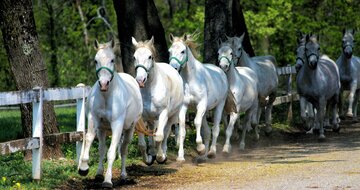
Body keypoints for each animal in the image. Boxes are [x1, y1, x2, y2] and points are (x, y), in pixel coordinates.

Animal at [78, 40, 144, 189]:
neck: (106, 97)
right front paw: (83, 168)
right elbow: (89, 140)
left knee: (123, 149)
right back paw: (98, 174)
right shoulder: (93, 120)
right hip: (102, 129)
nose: (103, 84)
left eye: (112, 60)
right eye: (95, 60)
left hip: (129, 128)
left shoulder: (117, 125)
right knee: (102, 149)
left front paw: (108, 181)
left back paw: (123, 176)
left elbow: (112, 153)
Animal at [131, 36, 184, 164]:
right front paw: (148, 159)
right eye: (134, 57)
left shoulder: (163, 114)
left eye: (150, 56)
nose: (140, 80)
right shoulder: (140, 118)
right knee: (151, 132)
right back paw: (153, 153)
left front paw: (161, 157)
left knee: (166, 132)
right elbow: (142, 144)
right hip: (151, 119)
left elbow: (160, 137)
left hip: (172, 116)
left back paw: (163, 154)